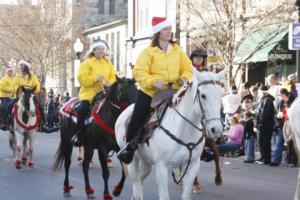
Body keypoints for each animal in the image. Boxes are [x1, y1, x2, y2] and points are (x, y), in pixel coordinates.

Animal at [116, 69, 224, 200]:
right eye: (203, 96)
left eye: (221, 95)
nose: (216, 129)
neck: (184, 132)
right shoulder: (161, 167)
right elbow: (164, 196)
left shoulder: (192, 166)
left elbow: (186, 195)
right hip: (132, 160)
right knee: (136, 186)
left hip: (146, 161)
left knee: (139, 182)